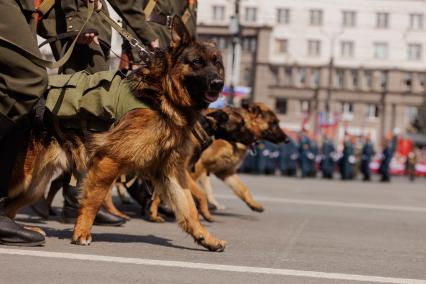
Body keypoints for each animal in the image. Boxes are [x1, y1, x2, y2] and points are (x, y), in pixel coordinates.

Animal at [5, 17, 228, 251]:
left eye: (217, 64)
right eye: (197, 62)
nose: (218, 84)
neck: (162, 95)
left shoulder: (172, 172)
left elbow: (189, 209)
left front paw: (206, 238)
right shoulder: (109, 161)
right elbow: (93, 200)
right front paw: (81, 232)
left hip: (34, 185)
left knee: (9, 205)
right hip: (24, 177)